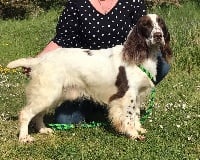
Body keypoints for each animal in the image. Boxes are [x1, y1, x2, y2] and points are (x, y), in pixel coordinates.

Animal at [6, 13, 172, 142]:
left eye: (161, 24)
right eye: (146, 25)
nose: (158, 36)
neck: (140, 56)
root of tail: (39, 60)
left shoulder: (137, 94)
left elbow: (136, 114)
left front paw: (139, 129)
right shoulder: (127, 95)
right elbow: (129, 116)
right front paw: (133, 134)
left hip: (52, 94)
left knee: (38, 114)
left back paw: (43, 130)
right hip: (47, 92)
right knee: (26, 113)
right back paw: (24, 138)